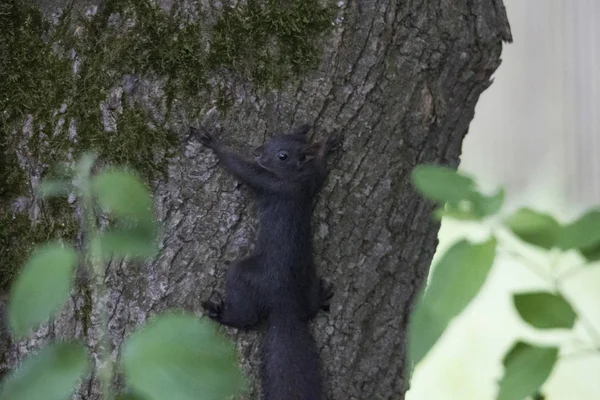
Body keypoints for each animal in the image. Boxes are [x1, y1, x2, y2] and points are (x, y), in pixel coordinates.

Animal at [195, 125, 340, 400]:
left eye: (282, 155)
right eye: (274, 138)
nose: (257, 152)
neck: (294, 178)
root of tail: (285, 305)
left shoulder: (270, 182)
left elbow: (241, 168)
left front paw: (215, 143)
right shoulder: (310, 181)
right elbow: (320, 171)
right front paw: (326, 148)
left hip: (245, 276)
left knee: (245, 314)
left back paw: (223, 315)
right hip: (307, 283)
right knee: (309, 309)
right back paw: (320, 297)